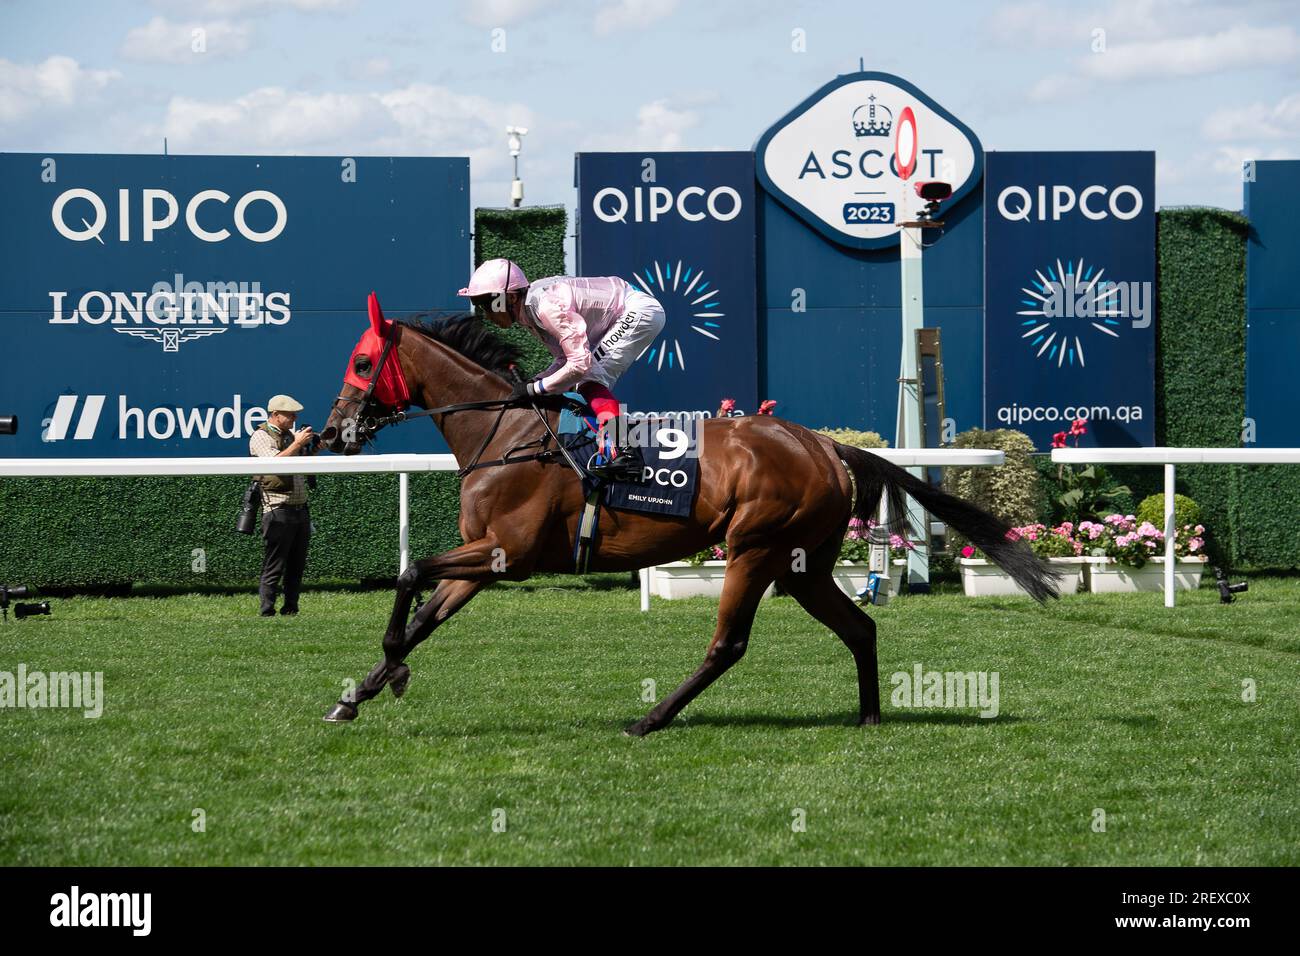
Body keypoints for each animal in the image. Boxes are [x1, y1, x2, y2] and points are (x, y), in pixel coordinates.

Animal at [317, 295, 1055, 738]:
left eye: (362, 361)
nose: (333, 431)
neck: (507, 436)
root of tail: (826, 446)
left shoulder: (509, 555)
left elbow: (409, 575)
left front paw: (388, 675)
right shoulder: (484, 558)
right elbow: (422, 616)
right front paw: (356, 695)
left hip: (755, 547)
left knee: (728, 644)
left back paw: (650, 718)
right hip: (804, 566)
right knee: (860, 626)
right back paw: (869, 717)